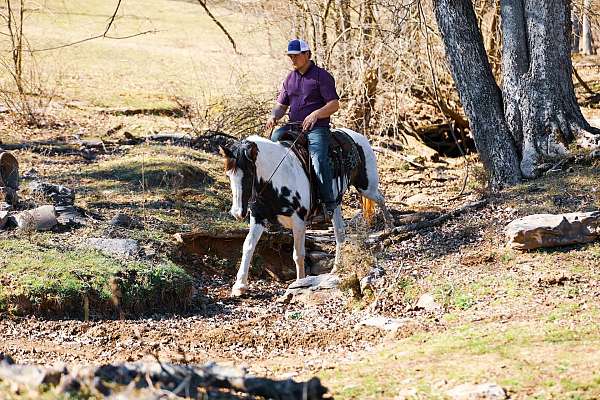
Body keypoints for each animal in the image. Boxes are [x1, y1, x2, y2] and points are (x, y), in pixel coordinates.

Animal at [220, 128, 394, 296]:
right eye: (228, 175)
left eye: (249, 174)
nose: (237, 212)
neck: (278, 179)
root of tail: (358, 136)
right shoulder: (258, 217)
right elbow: (248, 246)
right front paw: (239, 286)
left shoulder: (299, 221)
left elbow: (298, 254)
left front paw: (299, 282)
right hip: (336, 204)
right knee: (340, 233)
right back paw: (337, 268)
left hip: (366, 187)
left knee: (380, 198)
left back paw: (390, 226)